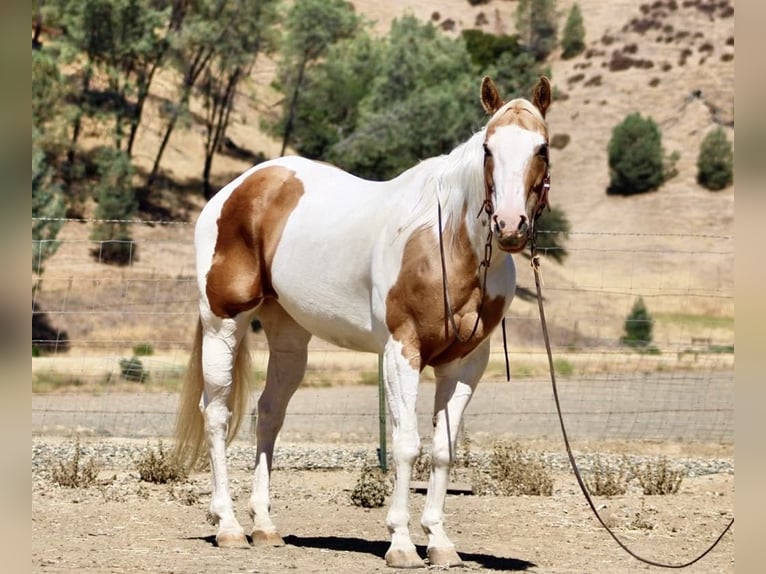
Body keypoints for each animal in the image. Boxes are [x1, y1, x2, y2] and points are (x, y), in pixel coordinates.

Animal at [174, 75, 552, 568]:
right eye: (488, 149)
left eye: (542, 148)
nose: (510, 225)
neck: (445, 243)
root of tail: (237, 189)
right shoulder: (401, 352)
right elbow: (407, 443)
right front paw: (402, 544)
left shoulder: (466, 363)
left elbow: (443, 449)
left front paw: (440, 542)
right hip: (224, 323)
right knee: (217, 414)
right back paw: (229, 527)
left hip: (289, 336)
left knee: (269, 414)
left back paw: (265, 527)